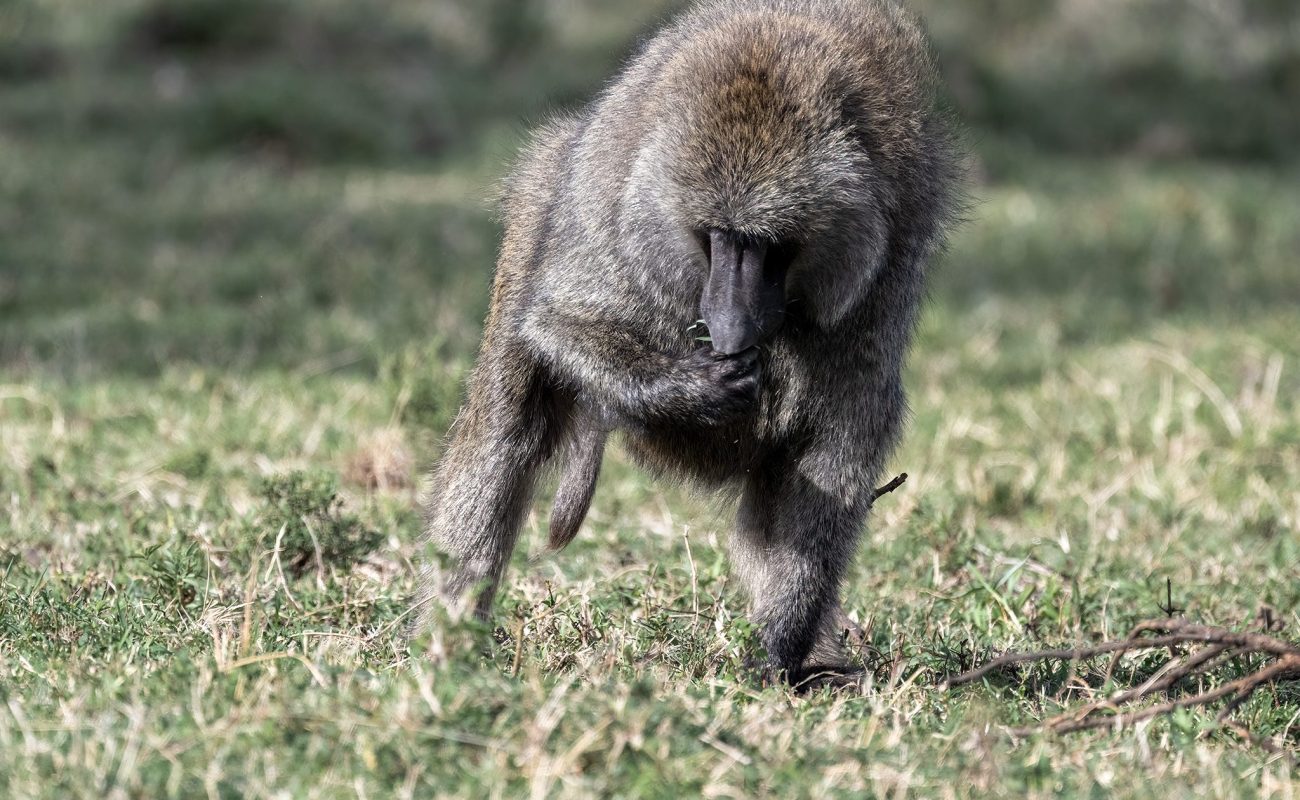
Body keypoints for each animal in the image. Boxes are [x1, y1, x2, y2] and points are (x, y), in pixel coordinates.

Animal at [411, 0, 961, 685]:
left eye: (769, 243)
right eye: (717, 236)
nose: (729, 327)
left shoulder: (880, 280)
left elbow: (837, 446)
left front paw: (776, 651)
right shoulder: (613, 221)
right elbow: (554, 322)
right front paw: (693, 389)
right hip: (543, 202)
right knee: (502, 427)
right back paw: (447, 643)